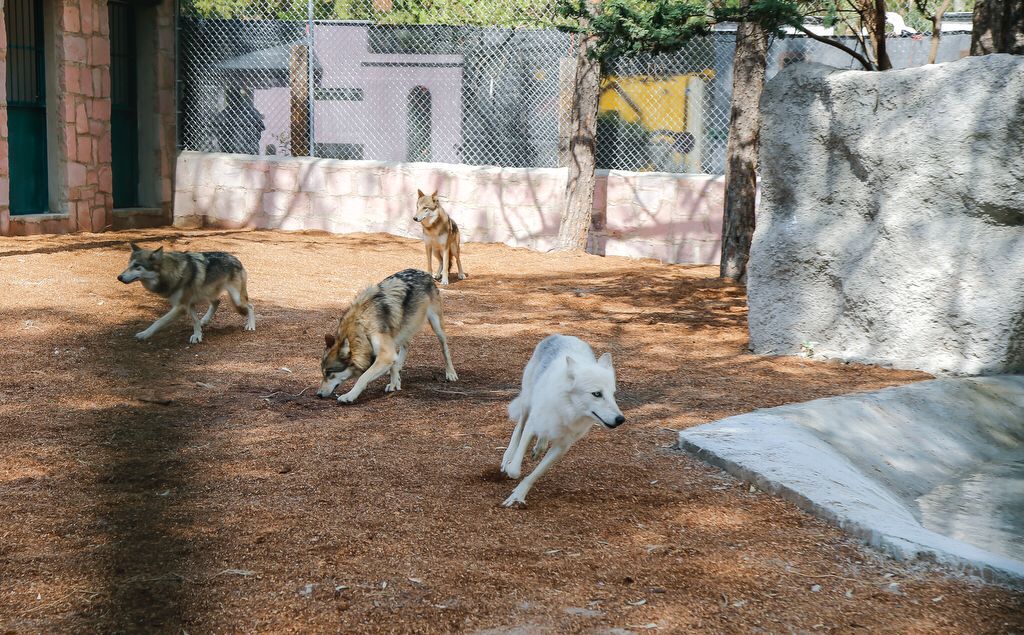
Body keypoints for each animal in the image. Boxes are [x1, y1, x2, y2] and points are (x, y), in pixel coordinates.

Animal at [116, 242, 256, 344]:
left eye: (137, 266)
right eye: (129, 265)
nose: (119, 277)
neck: (172, 272)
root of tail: (236, 259)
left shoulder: (181, 307)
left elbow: (159, 321)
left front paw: (144, 334)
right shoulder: (188, 304)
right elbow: (195, 320)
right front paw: (197, 335)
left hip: (236, 299)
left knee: (250, 306)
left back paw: (250, 325)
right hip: (209, 294)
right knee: (217, 302)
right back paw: (204, 320)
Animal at [316, 268, 458, 404]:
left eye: (329, 373)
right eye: (323, 373)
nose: (318, 394)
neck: (362, 325)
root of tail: (425, 273)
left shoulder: (385, 354)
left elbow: (363, 377)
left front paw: (349, 396)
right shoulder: (387, 352)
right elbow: (392, 366)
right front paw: (395, 383)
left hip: (436, 326)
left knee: (445, 349)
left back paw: (451, 373)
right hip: (403, 330)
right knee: (405, 346)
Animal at [500, 334, 625, 507]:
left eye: (613, 394)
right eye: (597, 394)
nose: (621, 419)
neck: (568, 410)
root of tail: (561, 336)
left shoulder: (562, 446)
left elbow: (535, 475)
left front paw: (519, 495)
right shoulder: (532, 424)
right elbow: (514, 470)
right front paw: (510, 467)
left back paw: (538, 448)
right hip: (527, 403)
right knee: (518, 428)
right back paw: (508, 457)